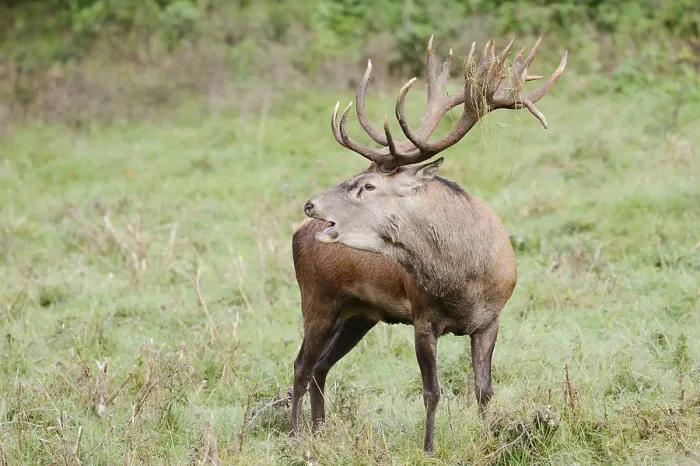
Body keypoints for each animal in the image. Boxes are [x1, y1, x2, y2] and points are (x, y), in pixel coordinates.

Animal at [291, 34, 567, 453]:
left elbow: (483, 390)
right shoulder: (422, 318)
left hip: (359, 313)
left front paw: (487, 439)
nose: (311, 205)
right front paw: (429, 448)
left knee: (321, 366)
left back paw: (320, 432)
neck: (461, 281)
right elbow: (432, 392)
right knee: (301, 366)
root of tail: (297, 234)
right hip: (317, 299)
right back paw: (292, 436)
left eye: (367, 185)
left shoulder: (492, 318)